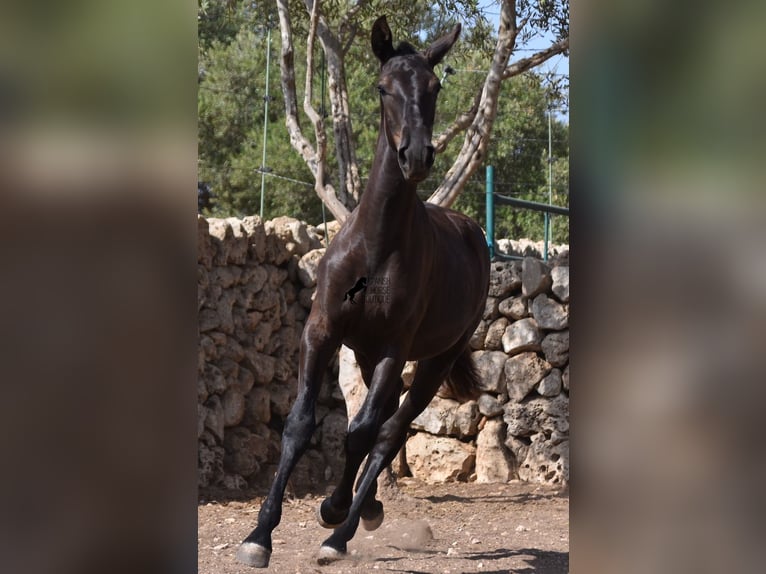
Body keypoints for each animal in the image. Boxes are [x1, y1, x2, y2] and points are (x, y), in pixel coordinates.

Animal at [238, 15, 492, 568]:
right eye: (383, 87)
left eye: (435, 87)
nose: (415, 155)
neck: (376, 245)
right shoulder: (322, 331)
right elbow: (300, 425)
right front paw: (259, 535)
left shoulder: (397, 348)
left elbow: (361, 432)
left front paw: (333, 518)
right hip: (365, 351)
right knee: (379, 423)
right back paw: (363, 506)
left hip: (433, 360)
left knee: (388, 429)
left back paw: (348, 522)